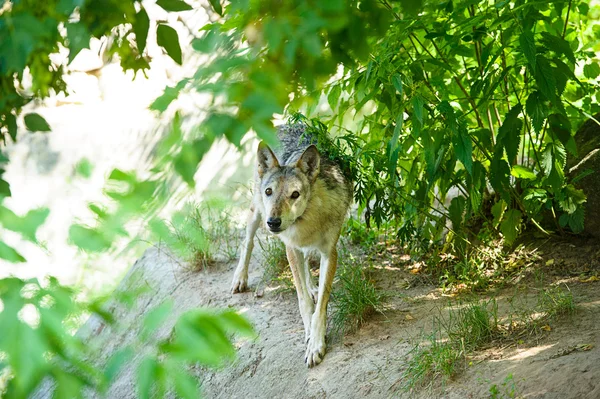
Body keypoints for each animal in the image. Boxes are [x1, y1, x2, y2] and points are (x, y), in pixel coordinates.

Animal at [230, 123, 352, 368]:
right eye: (269, 192)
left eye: (294, 194)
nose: (273, 222)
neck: (308, 218)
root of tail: (286, 123)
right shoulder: (291, 248)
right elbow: (303, 301)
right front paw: (309, 337)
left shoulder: (329, 253)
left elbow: (321, 304)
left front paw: (316, 343)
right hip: (256, 213)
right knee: (247, 242)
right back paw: (240, 278)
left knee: (306, 266)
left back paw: (313, 287)